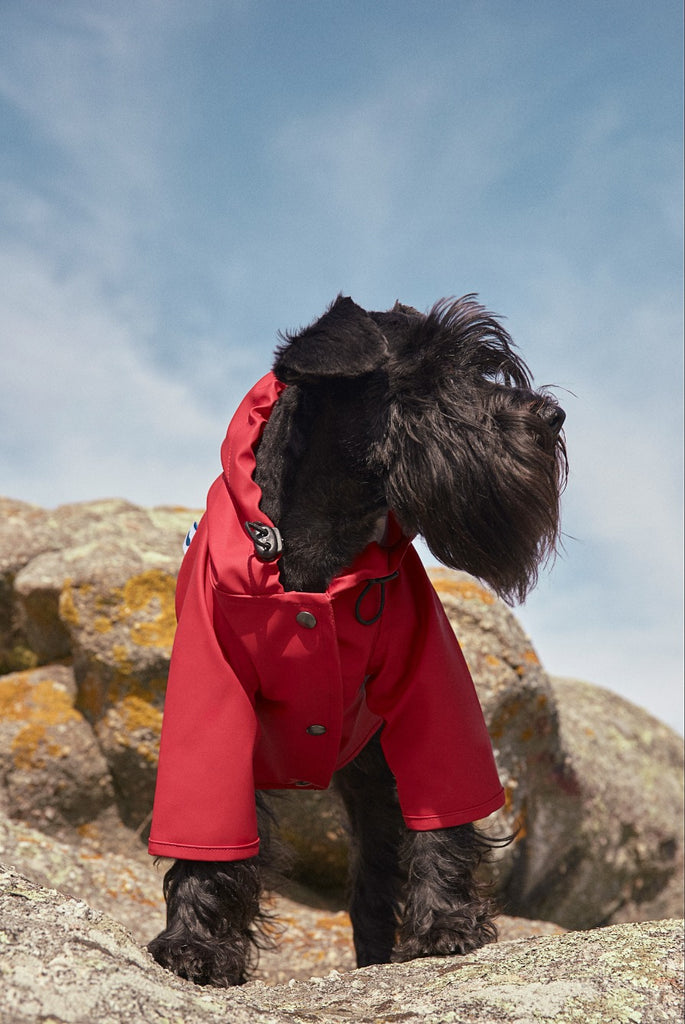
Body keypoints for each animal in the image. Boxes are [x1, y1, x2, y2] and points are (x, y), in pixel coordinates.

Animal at [145, 294, 565, 983]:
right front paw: (195, 945)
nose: (552, 417)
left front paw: (447, 924)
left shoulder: (430, 687)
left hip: (373, 785)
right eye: (429, 373)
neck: (320, 547)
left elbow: (445, 809)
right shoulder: (210, 690)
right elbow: (209, 824)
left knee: (374, 881)